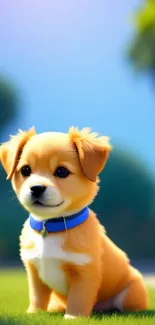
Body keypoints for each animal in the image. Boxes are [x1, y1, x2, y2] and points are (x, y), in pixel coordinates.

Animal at [0, 126, 148, 316]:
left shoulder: (85, 272)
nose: (36, 188)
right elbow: (37, 297)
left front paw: (73, 317)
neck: (50, 227)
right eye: (25, 170)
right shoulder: (34, 271)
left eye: (62, 171)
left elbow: (79, 298)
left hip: (131, 291)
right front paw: (34, 313)